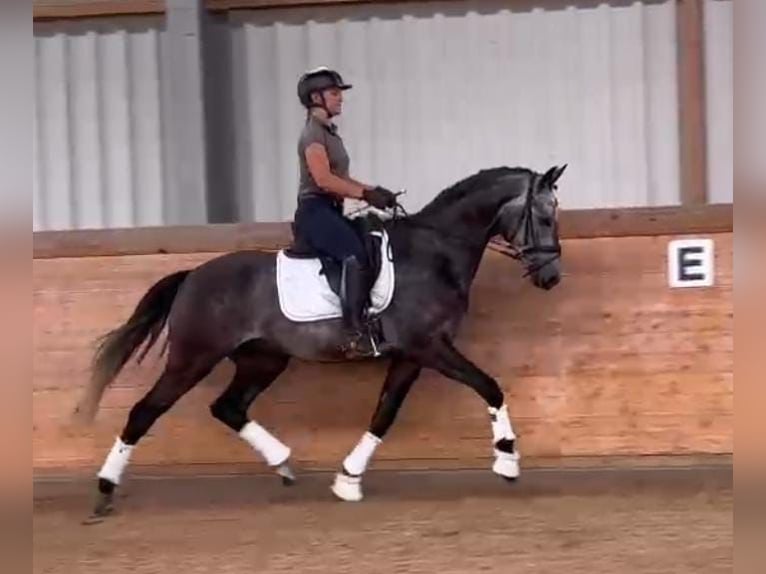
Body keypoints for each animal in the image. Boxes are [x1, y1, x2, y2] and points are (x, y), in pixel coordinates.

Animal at [75, 163, 568, 520]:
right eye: (544, 216)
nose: (551, 278)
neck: (436, 252)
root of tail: (193, 275)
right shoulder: (429, 346)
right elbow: (490, 386)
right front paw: (507, 460)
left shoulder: (411, 355)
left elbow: (384, 413)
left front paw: (348, 480)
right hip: (193, 358)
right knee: (145, 412)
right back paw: (104, 491)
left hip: (263, 359)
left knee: (228, 407)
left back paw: (283, 463)